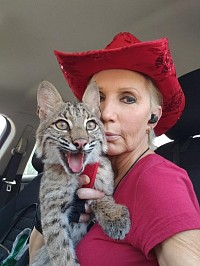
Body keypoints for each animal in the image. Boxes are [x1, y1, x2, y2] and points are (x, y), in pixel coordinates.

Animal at [32, 81, 130, 266]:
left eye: (90, 125)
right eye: (62, 125)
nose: (81, 143)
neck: (77, 174)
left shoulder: (101, 184)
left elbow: (101, 196)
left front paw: (114, 217)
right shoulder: (51, 212)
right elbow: (59, 249)